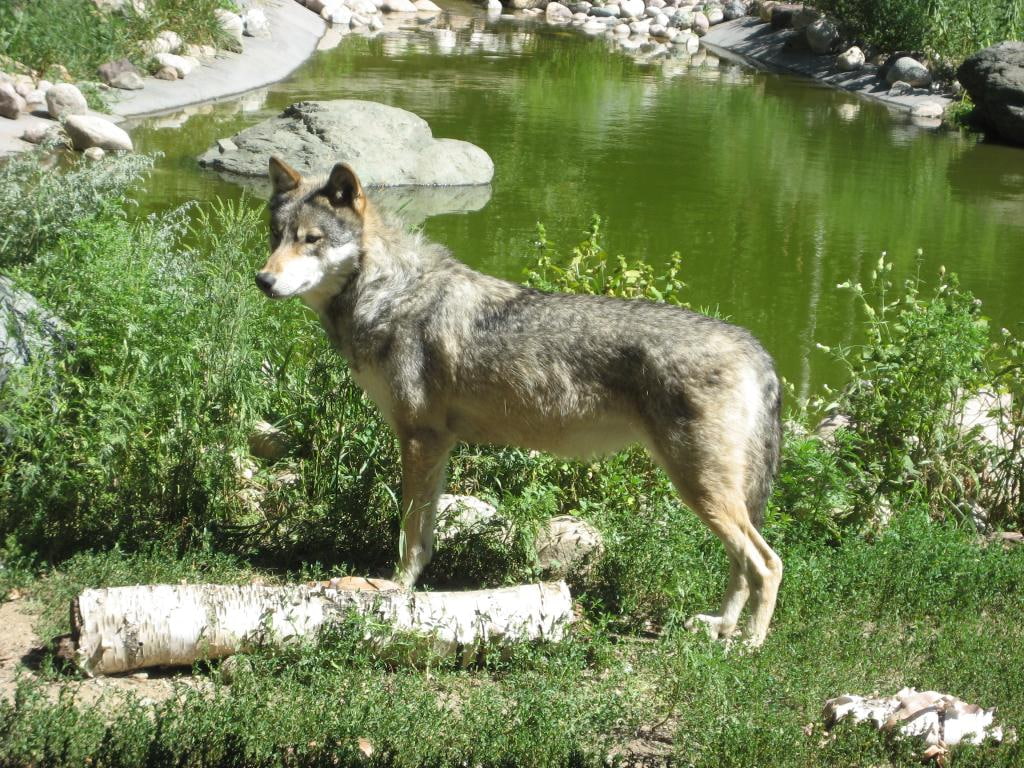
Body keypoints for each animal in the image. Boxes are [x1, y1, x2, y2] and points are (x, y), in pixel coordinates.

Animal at [256, 157, 784, 645]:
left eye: (311, 239)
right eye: (276, 236)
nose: (262, 280)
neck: (390, 294)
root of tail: (753, 345)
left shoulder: (419, 440)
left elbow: (409, 535)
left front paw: (395, 588)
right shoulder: (437, 446)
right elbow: (425, 534)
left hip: (701, 489)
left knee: (768, 563)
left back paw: (750, 644)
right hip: (715, 494)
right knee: (743, 565)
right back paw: (721, 627)